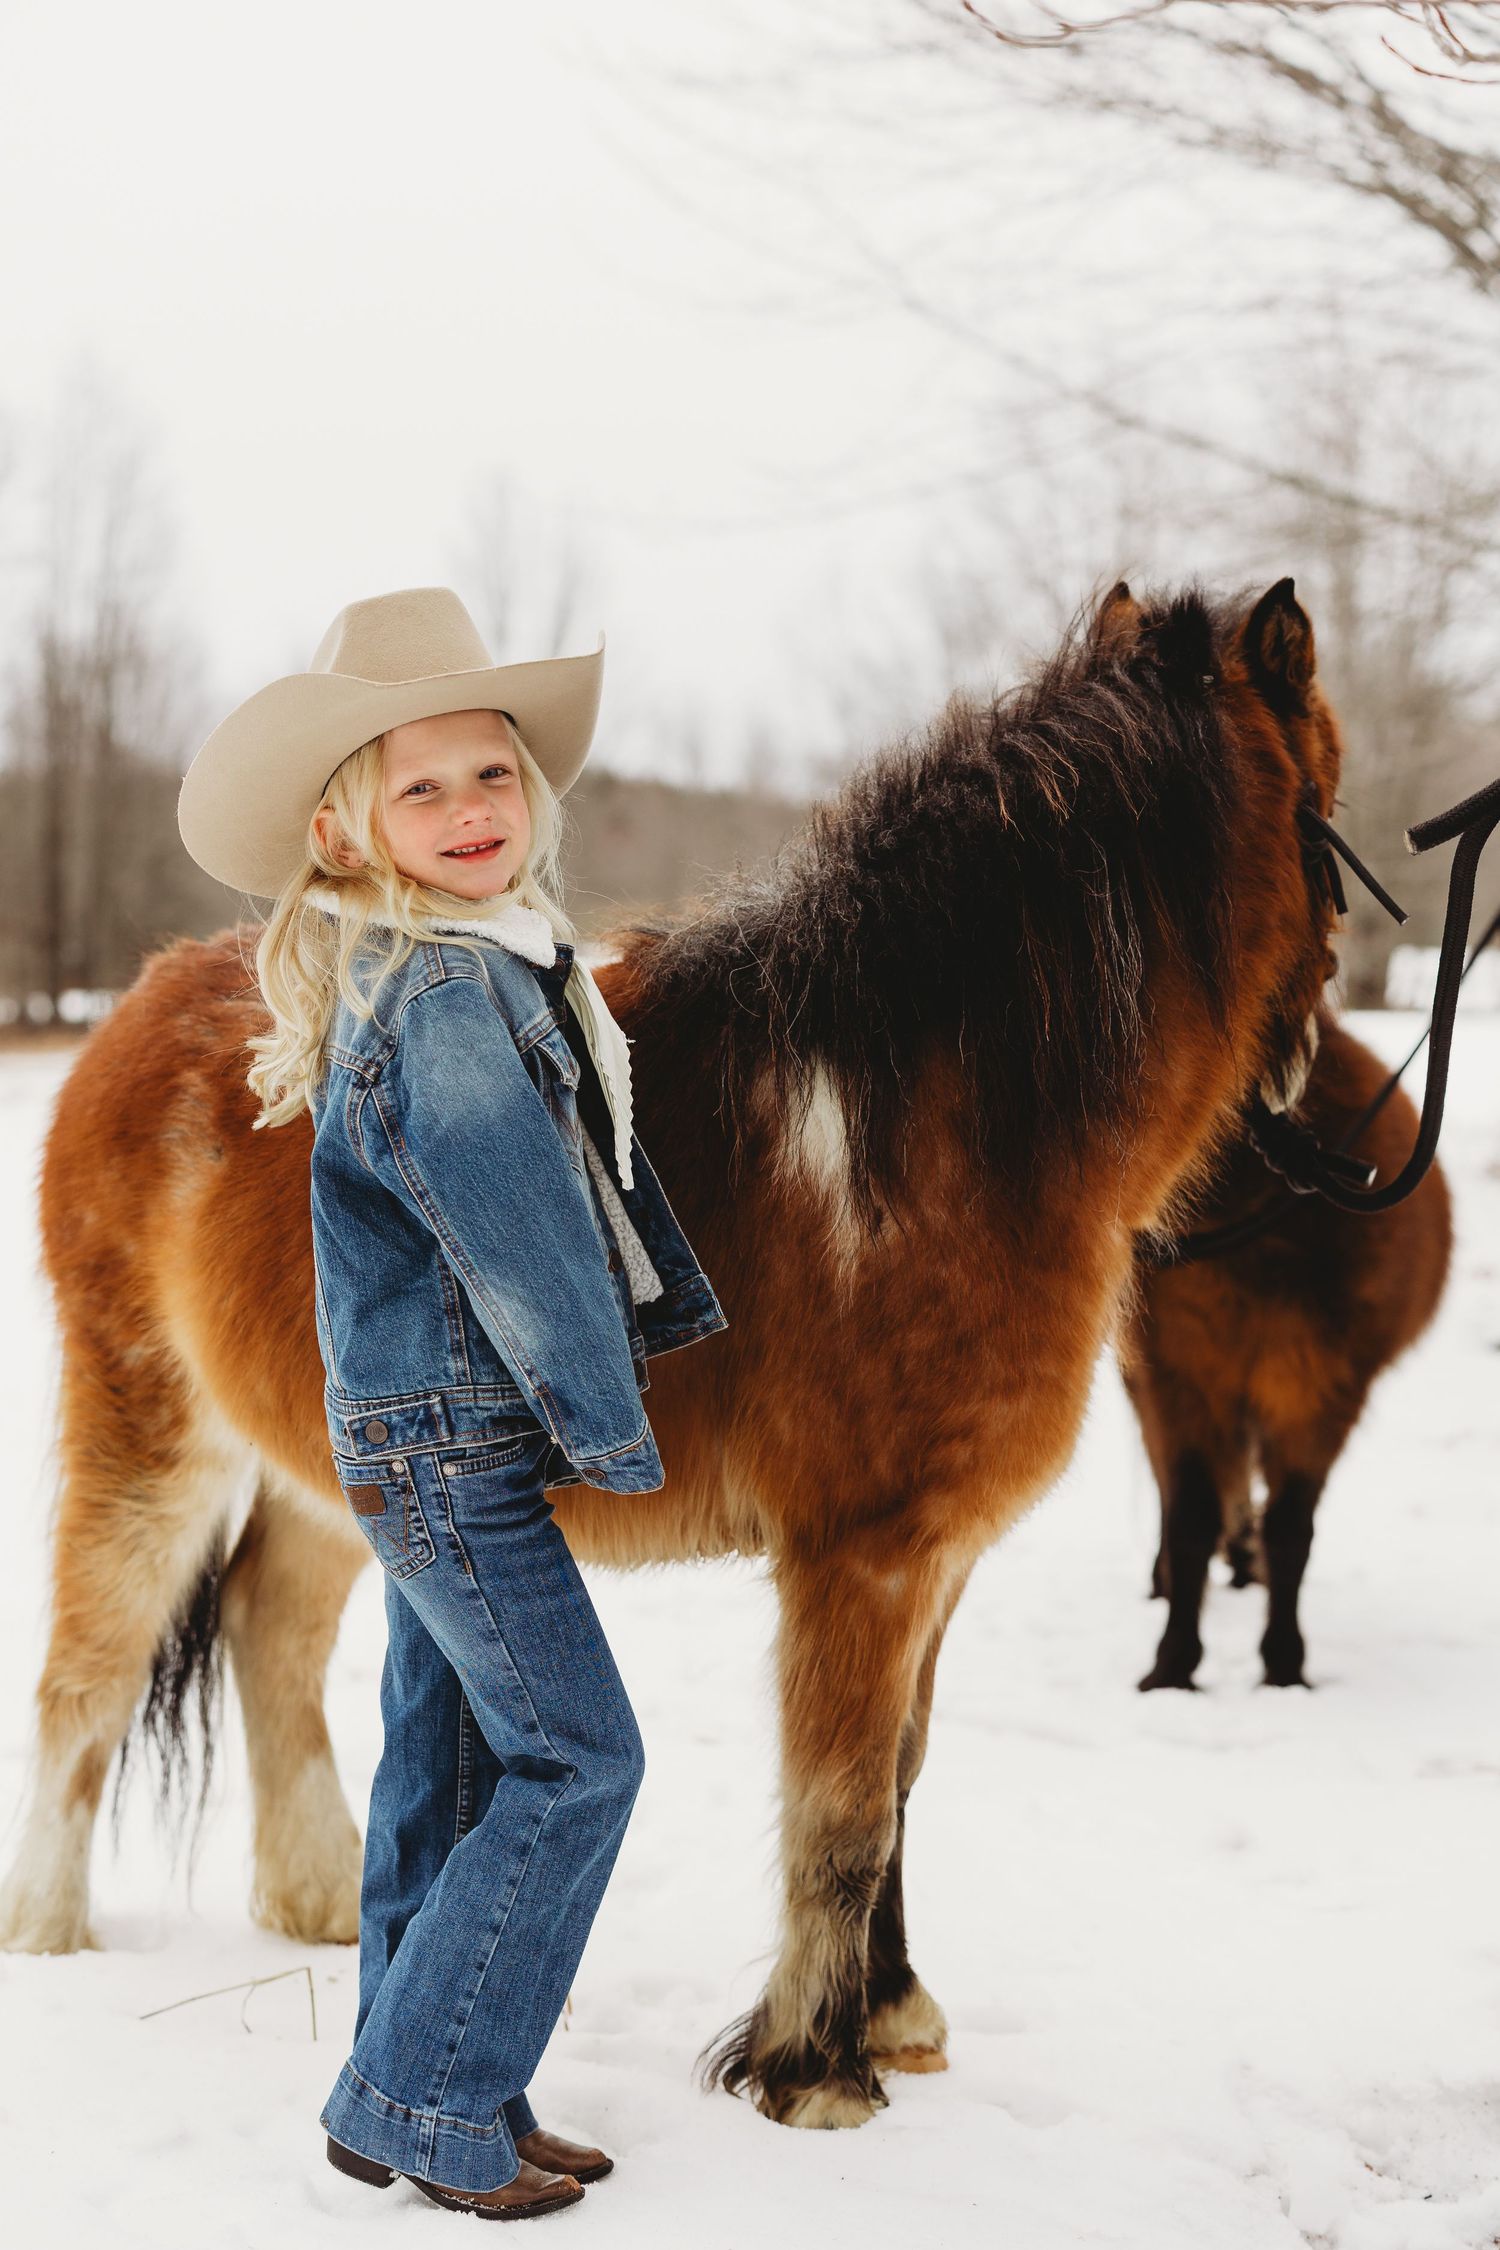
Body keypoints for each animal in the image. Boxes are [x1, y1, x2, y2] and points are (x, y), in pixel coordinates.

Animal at [0, 577, 1348, 2129]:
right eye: (1330, 786)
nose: (1312, 1053)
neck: (938, 1128)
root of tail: (136, 1011)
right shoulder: (864, 1558)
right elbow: (842, 1806)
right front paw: (814, 2075)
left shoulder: (934, 1558)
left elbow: (902, 1779)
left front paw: (893, 2018)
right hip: (150, 1434)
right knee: (86, 1674)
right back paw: (51, 1936)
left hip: (329, 1476)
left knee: (269, 1636)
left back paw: (324, 1905)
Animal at [1122, 1012, 1453, 1693]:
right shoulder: (1178, 1381)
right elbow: (1189, 1514)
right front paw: (1172, 1664)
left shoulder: (1318, 1390)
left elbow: (1291, 1528)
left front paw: (1284, 1663)